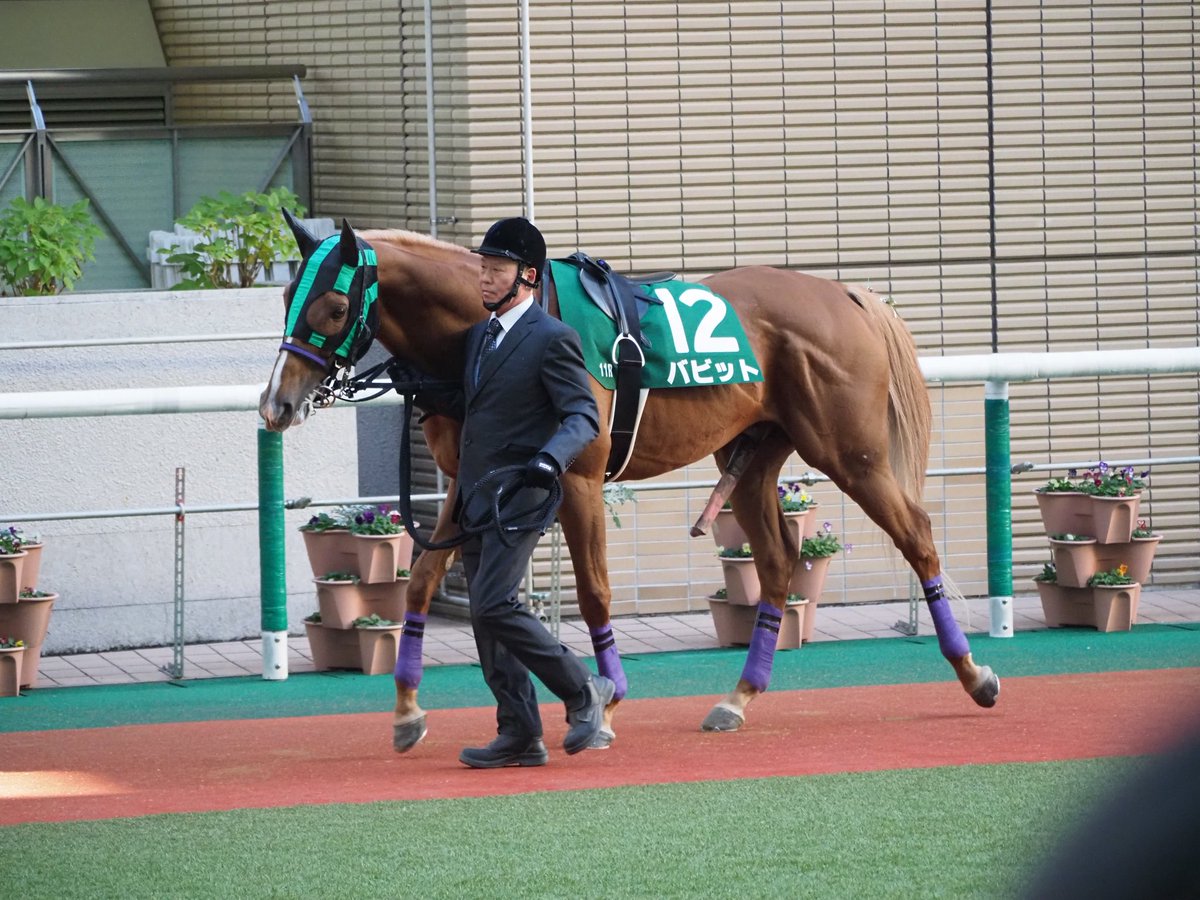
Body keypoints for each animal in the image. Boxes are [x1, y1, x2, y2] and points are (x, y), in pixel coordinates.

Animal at [259, 217, 1000, 753]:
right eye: (287, 297)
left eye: (332, 306)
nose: (276, 404)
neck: (484, 329)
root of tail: (845, 293)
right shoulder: (473, 482)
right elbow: (419, 582)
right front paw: (408, 708)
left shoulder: (577, 478)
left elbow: (592, 593)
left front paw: (604, 701)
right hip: (754, 456)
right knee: (778, 563)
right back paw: (738, 697)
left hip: (853, 452)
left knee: (918, 535)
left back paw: (975, 675)